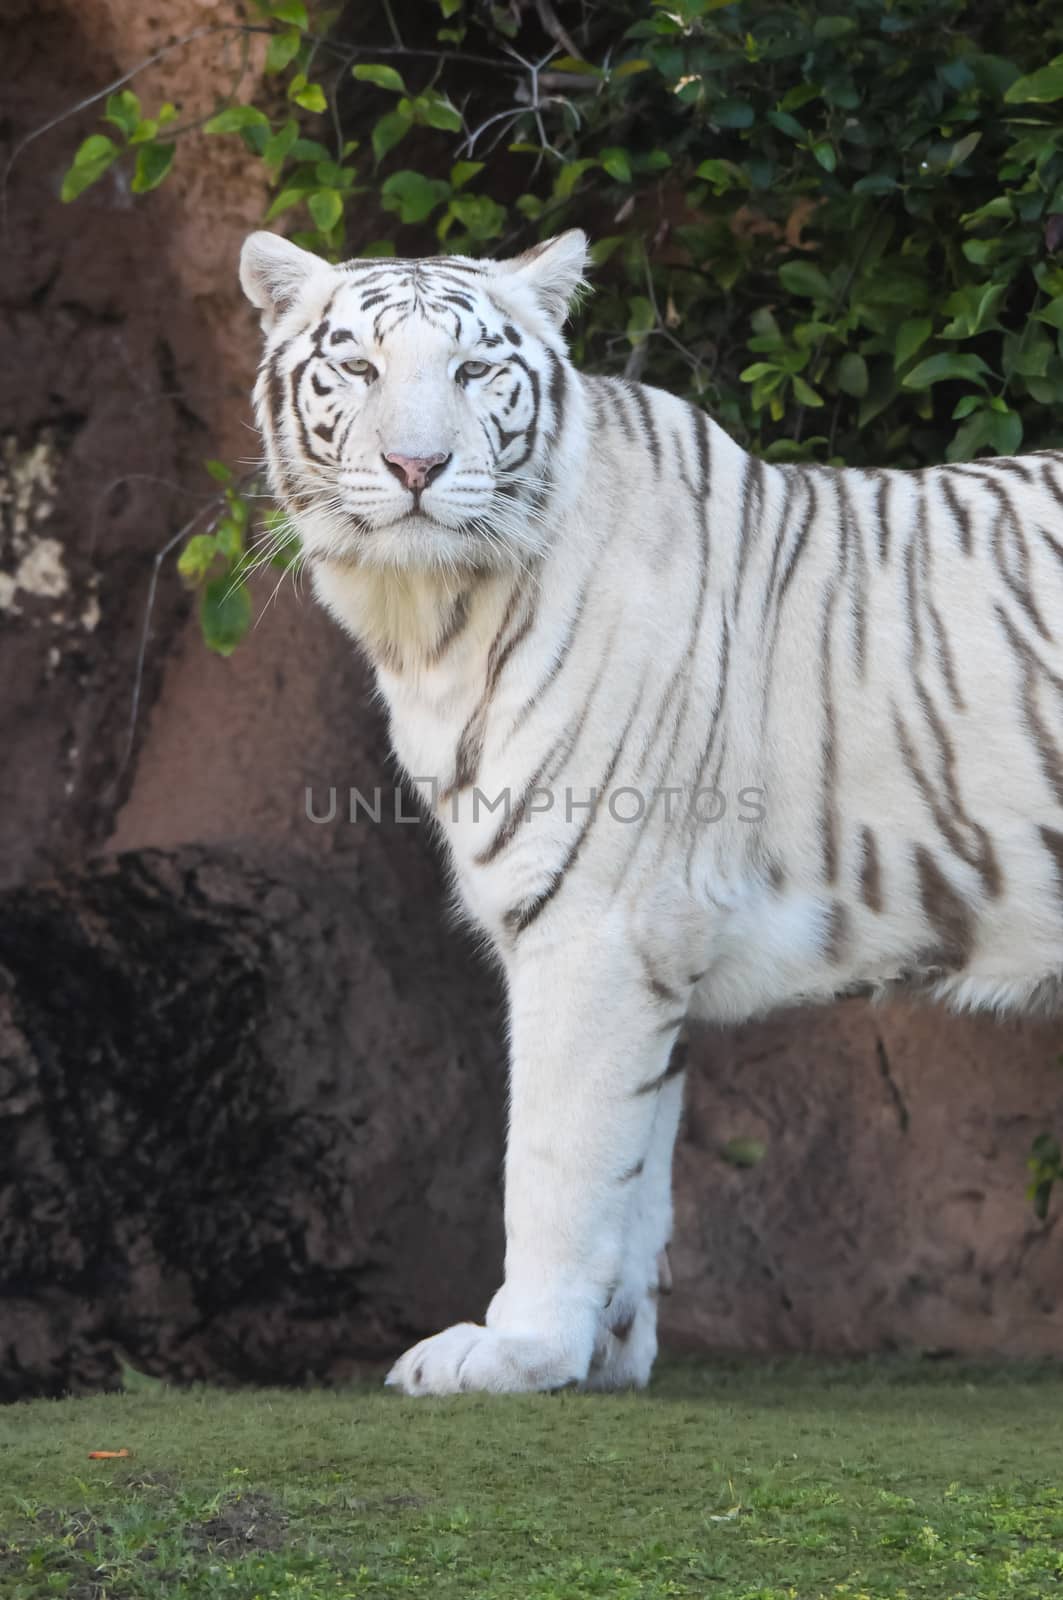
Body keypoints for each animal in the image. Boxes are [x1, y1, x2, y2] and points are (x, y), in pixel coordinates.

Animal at [238, 232, 1063, 1395]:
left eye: (472, 371)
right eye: (356, 368)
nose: (415, 469)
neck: (429, 618)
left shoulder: (598, 923)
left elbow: (553, 1153)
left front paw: (518, 1347)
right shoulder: (648, 940)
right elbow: (636, 1160)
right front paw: (604, 1351)